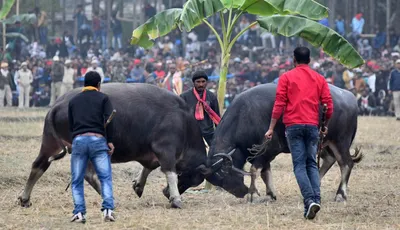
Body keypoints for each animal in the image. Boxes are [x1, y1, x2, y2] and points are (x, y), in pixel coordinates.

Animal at [18, 82, 209, 208]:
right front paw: (176, 199)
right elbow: (170, 172)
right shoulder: (165, 148)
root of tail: (57, 105)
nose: (166, 192)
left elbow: (149, 167)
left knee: (39, 165)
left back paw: (25, 198)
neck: (183, 120)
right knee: (88, 174)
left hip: (50, 142)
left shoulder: (152, 153)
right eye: (191, 177)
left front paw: (138, 185)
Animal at [205, 83, 364, 202]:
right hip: (324, 141)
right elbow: (265, 172)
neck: (244, 116)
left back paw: (340, 195)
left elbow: (254, 170)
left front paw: (253, 193)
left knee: (346, 164)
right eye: (217, 181)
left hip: (340, 141)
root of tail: (350, 97)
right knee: (330, 159)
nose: (240, 192)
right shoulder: (260, 152)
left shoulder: (271, 148)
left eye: (223, 174)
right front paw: (270, 194)